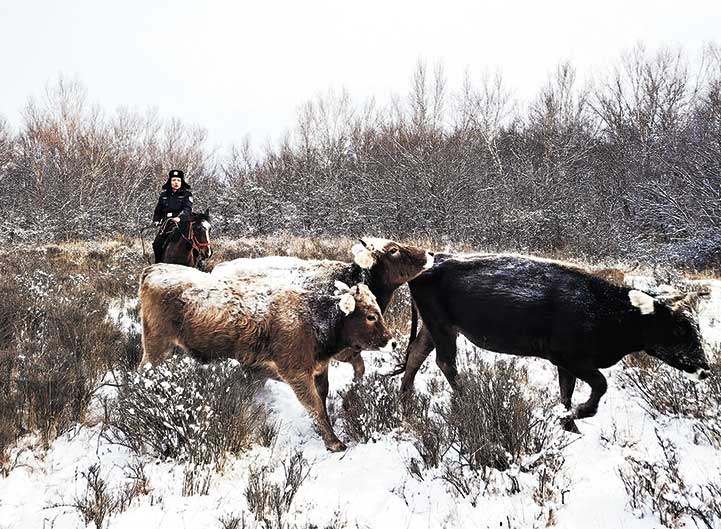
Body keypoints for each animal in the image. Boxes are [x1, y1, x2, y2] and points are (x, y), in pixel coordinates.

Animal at [138, 262, 390, 450]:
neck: (311, 318)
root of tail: (155, 269)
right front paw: (335, 443)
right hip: (156, 348)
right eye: (370, 316)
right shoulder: (296, 374)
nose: (391, 340)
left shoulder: (310, 370)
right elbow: (315, 406)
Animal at [400, 252, 708, 428]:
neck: (601, 307)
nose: (705, 369)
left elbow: (565, 394)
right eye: (680, 328)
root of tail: (430, 261)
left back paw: (406, 401)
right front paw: (580, 413)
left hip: (433, 328)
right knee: (445, 362)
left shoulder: (567, 365)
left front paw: (567, 422)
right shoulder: (569, 357)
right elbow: (600, 385)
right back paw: (467, 399)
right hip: (442, 328)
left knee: (416, 354)